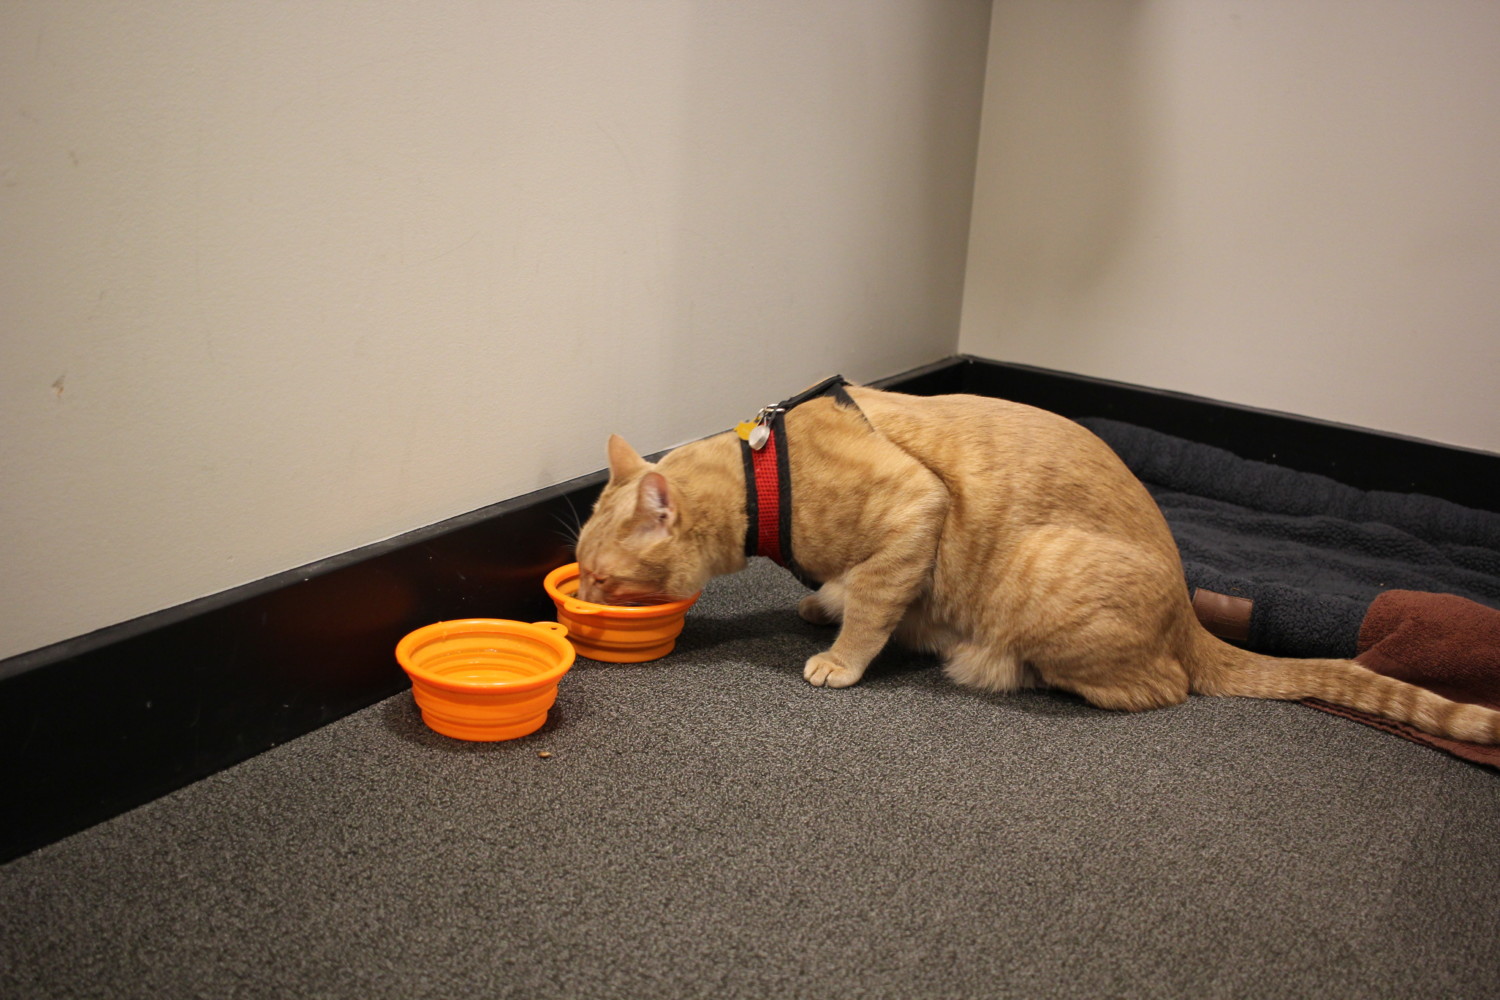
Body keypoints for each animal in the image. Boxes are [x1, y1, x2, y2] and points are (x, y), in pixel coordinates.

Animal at [573, 383, 1500, 743]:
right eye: (577, 569)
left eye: (601, 580)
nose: (577, 598)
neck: (770, 474)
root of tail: (1189, 614)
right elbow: (854, 594)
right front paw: (819, 604)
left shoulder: (916, 508)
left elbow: (872, 607)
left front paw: (841, 654)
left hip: (1045, 575)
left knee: (1160, 687)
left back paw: (993, 664)